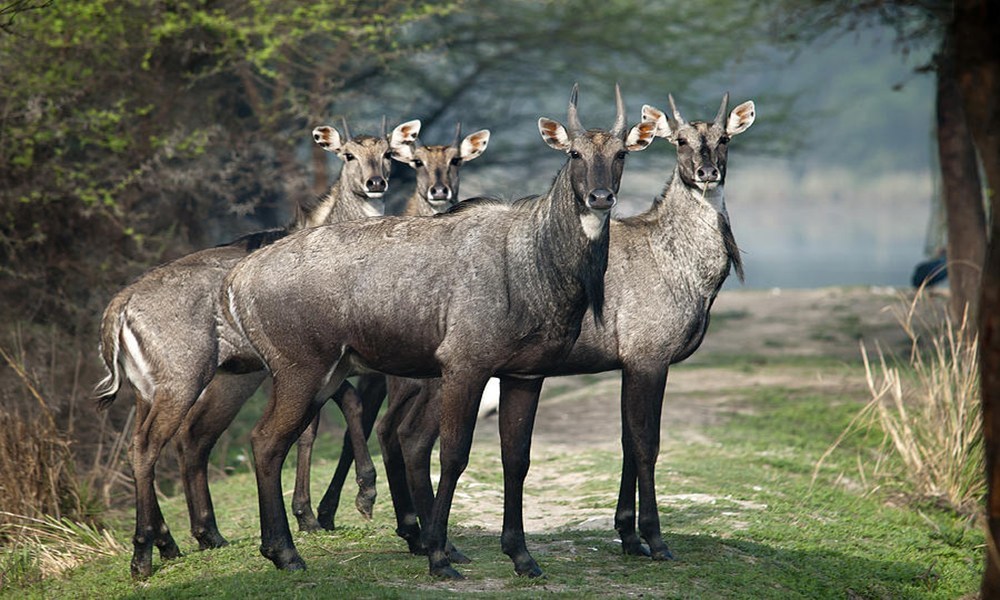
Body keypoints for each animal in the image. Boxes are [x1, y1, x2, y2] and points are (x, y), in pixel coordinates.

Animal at [94, 116, 422, 576]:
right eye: (348, 155)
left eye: (388, 153)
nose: (375, 183)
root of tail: (120, 306)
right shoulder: (311, 362)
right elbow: (338, 412)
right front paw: (358, 496)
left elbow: (316, 424)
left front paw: (310, 515)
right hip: (184, 382)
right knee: (150, 446)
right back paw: (145, 553)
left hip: (165, 389)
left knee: (178, 441)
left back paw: (185, 540)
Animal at [496, 92, 752, 564]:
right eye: (681, 140)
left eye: (724, 138)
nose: (707, 172)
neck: (681, 264)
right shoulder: (649, 358)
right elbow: (647, 443)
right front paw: (656, 539)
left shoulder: (627, 364)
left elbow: (627, 442)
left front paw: (628, 536)